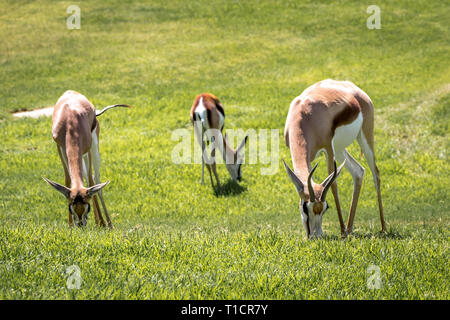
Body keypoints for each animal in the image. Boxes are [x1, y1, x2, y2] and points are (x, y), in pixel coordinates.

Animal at [43, 90, 130, 228]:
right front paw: (70, 225)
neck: (70, 123)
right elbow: (68, 180)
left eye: (87, 207)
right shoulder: (60, 148)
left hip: (94, 148)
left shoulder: (87, 149)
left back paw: (107, 224)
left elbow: (91, 181)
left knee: (95, 178)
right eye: (70, 207)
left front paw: (102, 223)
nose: (80, 224)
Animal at [284, 80, 386, 239]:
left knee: (376, 174)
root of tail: (354, 88)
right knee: (359, 171)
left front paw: (342, 231)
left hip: (364, 138)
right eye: (305, 208)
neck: (304, 114)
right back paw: (350, 228)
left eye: (326, 207)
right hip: (339, 149)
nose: (316, 236)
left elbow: (333, 185)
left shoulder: (328, 148)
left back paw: (382, 228)